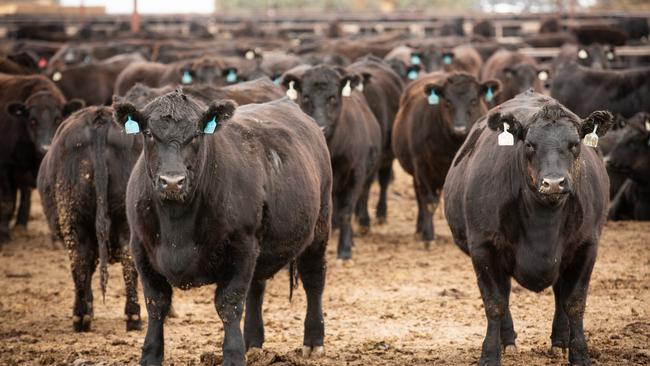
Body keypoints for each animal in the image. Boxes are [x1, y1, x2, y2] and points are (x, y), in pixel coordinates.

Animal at [37, 106, 142, 332]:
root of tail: (99, 121)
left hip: (73, 220)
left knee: (81, 259)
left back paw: (82, 315)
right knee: (126, 259)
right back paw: (132, 316)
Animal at [112, 94, 330, 366]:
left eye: (196, 133)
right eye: (149, 133)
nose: (172, 181)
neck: (177, 226)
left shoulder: (242, 246)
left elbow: (229, 304)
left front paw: (233, 355)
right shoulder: (140, 248)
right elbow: (156, 303)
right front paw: (150, 355)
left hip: (319, 228)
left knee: (314, 280)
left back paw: (313, 341)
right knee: (256, 288)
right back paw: (253, 343)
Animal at [280, 66, 380, 260]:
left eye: (333, 97)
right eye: (306, 97)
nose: (321, 127)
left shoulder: (356, 175)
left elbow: (347, 211)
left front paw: (345, 249)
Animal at [390, 71, 496, 246]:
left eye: (474, 100)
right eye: (447, 101)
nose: (460, 128)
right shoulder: (422, 168)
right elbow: (429, 202)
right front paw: (428, 236)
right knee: (420, 198)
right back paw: (420, 230)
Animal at [442, 89, 612, 366]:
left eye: (575, 143)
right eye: (530, 144)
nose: (553, 183)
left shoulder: (586, 245)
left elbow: (574, 302)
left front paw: (580, 354)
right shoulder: (483, 247)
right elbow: (495, 303)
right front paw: (489, 354)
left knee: (559, 294)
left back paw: (559, 342)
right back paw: (508, 341)